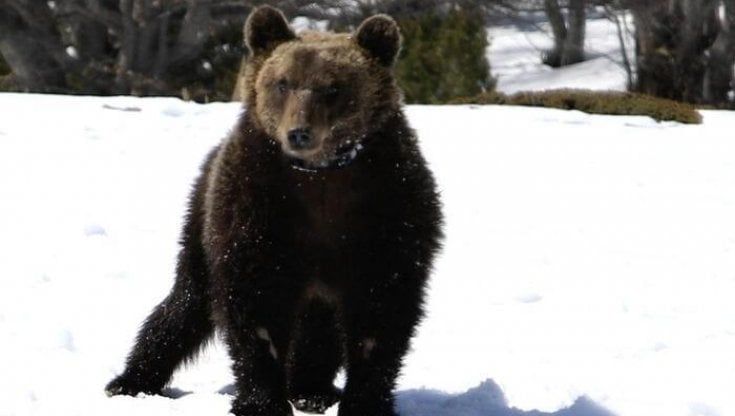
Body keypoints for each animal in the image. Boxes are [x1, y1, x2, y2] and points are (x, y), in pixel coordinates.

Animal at [105, 6, 443, 416]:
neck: (320, 179)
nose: (299, 132)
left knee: (317, 324)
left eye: (333, 87)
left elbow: (381, 315)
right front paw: (262, 401)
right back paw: (132, 381)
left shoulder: (386, 210)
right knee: (186, 302)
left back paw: (312, 389)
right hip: (202, 220)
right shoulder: (259, 211)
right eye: (283, 83)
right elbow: (256, 306)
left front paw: (365, 401)